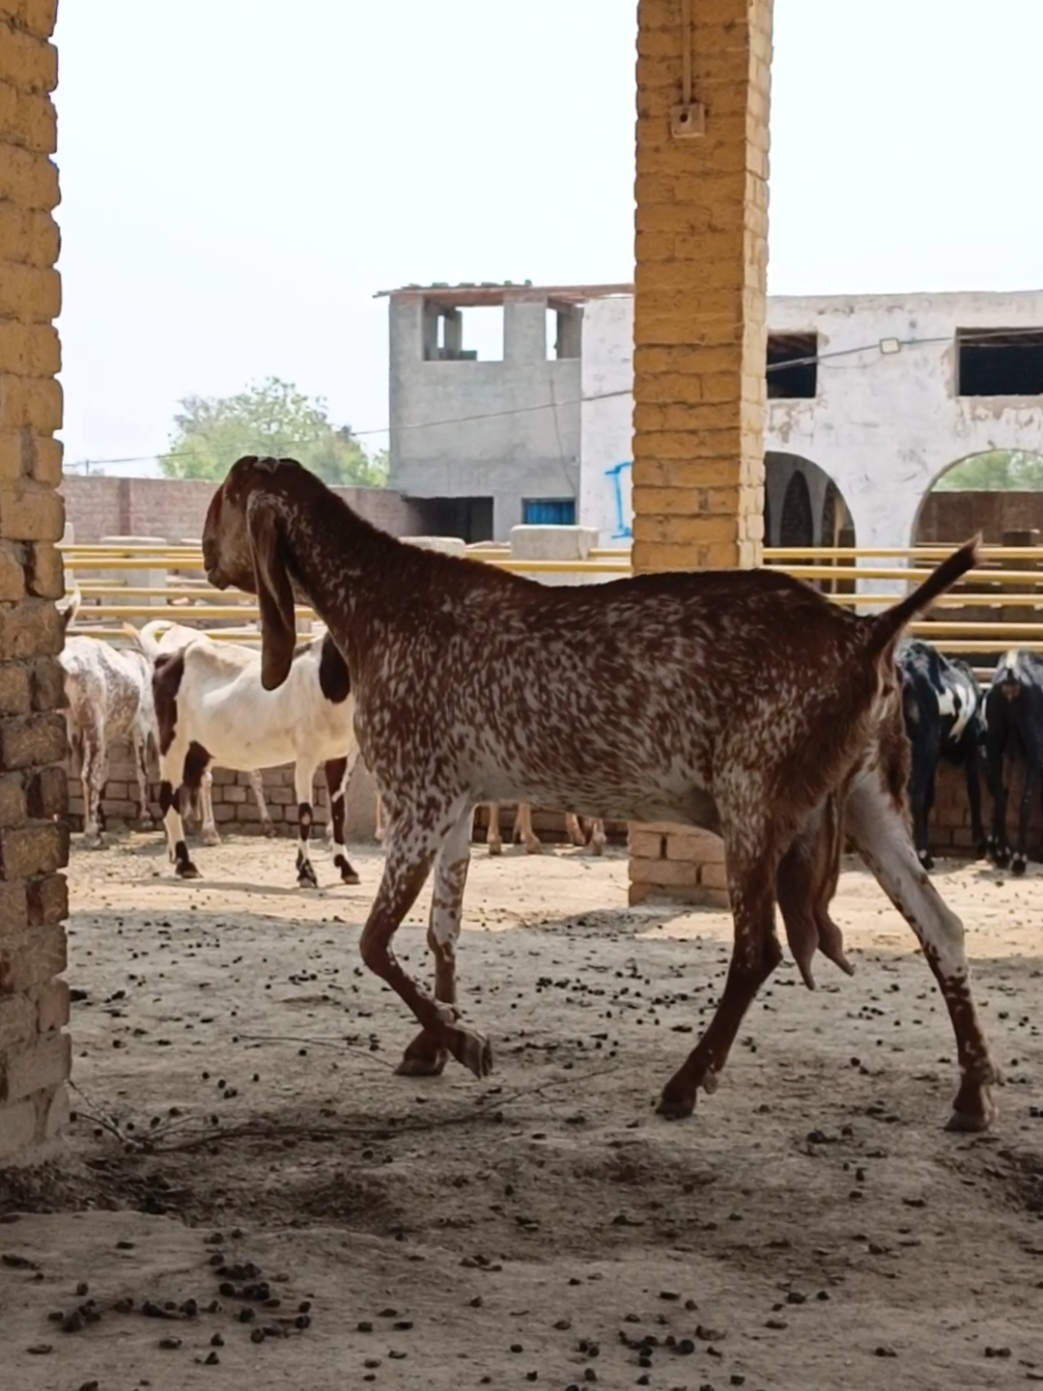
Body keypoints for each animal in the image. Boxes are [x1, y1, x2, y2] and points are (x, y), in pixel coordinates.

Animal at [58, 586, 157, 847]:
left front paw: (100, 818)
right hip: (91, 723)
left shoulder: (106, 737)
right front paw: (146, 817)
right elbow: (142, 772)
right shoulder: (140, 729)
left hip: (69, 726)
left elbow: (104, 775)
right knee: (86, 775)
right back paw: (92, 833)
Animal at [132, 622, 362, 888]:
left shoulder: (337, 756)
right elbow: (305, 813)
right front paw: (306, 872)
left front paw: (346, 868)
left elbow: (339, 812)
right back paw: (186, 864)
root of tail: (166, 659)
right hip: (172, 743)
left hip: (194, 751)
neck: (323, 679)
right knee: (167, 797)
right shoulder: (306, 756)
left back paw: (175, 856)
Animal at [897, 639, 987, 870]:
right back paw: (921, 855)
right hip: (924, 744)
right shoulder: (968, 745)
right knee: (915, 794)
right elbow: (974, 791)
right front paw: (980, 843)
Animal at [984, 648, 1043, 875]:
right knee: (1025, 798)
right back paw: (1019, 859)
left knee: (1000, 794)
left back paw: (1001, 853)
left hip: (996, 739)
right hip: (1033, 743)